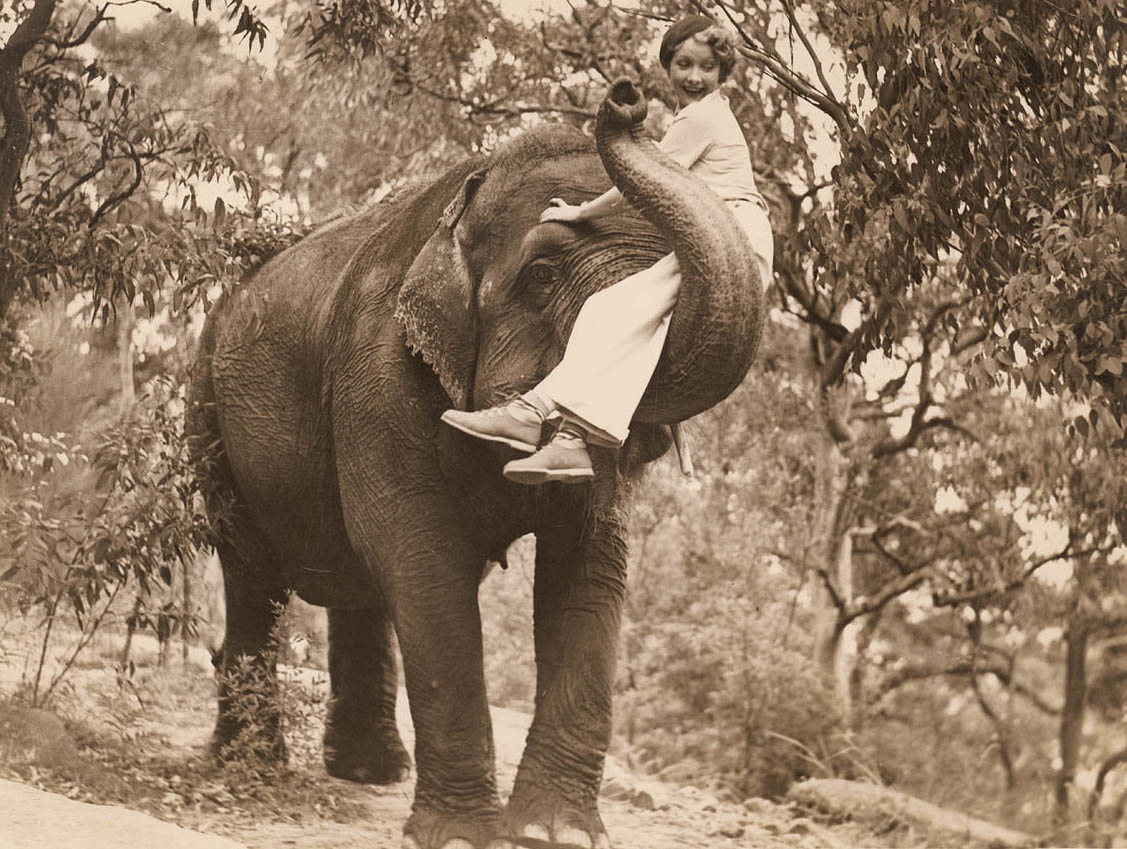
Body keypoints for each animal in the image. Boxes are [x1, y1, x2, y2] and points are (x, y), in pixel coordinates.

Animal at [187, 80, 764, 849]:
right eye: (542, 275)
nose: (626, 97)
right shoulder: (376, 370)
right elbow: (421, 555)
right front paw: (463, 835)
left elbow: (589, 565)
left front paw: (556, 833)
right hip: (209, 412)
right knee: (252, 571)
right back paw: (250, 765)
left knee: (355, 586)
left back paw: (367, 772)